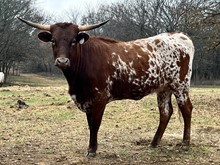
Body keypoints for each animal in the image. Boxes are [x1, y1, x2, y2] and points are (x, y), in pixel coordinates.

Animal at [18, 17, 194, 157]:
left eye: (73, 41)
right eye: (53, 41)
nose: (62, 61)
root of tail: (179, 36)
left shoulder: (100, 98)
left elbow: (95, 124)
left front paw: (92, 150)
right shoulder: (86, 100)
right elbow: (90, 125)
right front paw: (91, 148)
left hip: (180, 85)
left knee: (186, 109)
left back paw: (185, 143)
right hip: (163, 89)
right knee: (165, 112)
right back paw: (154, 143)